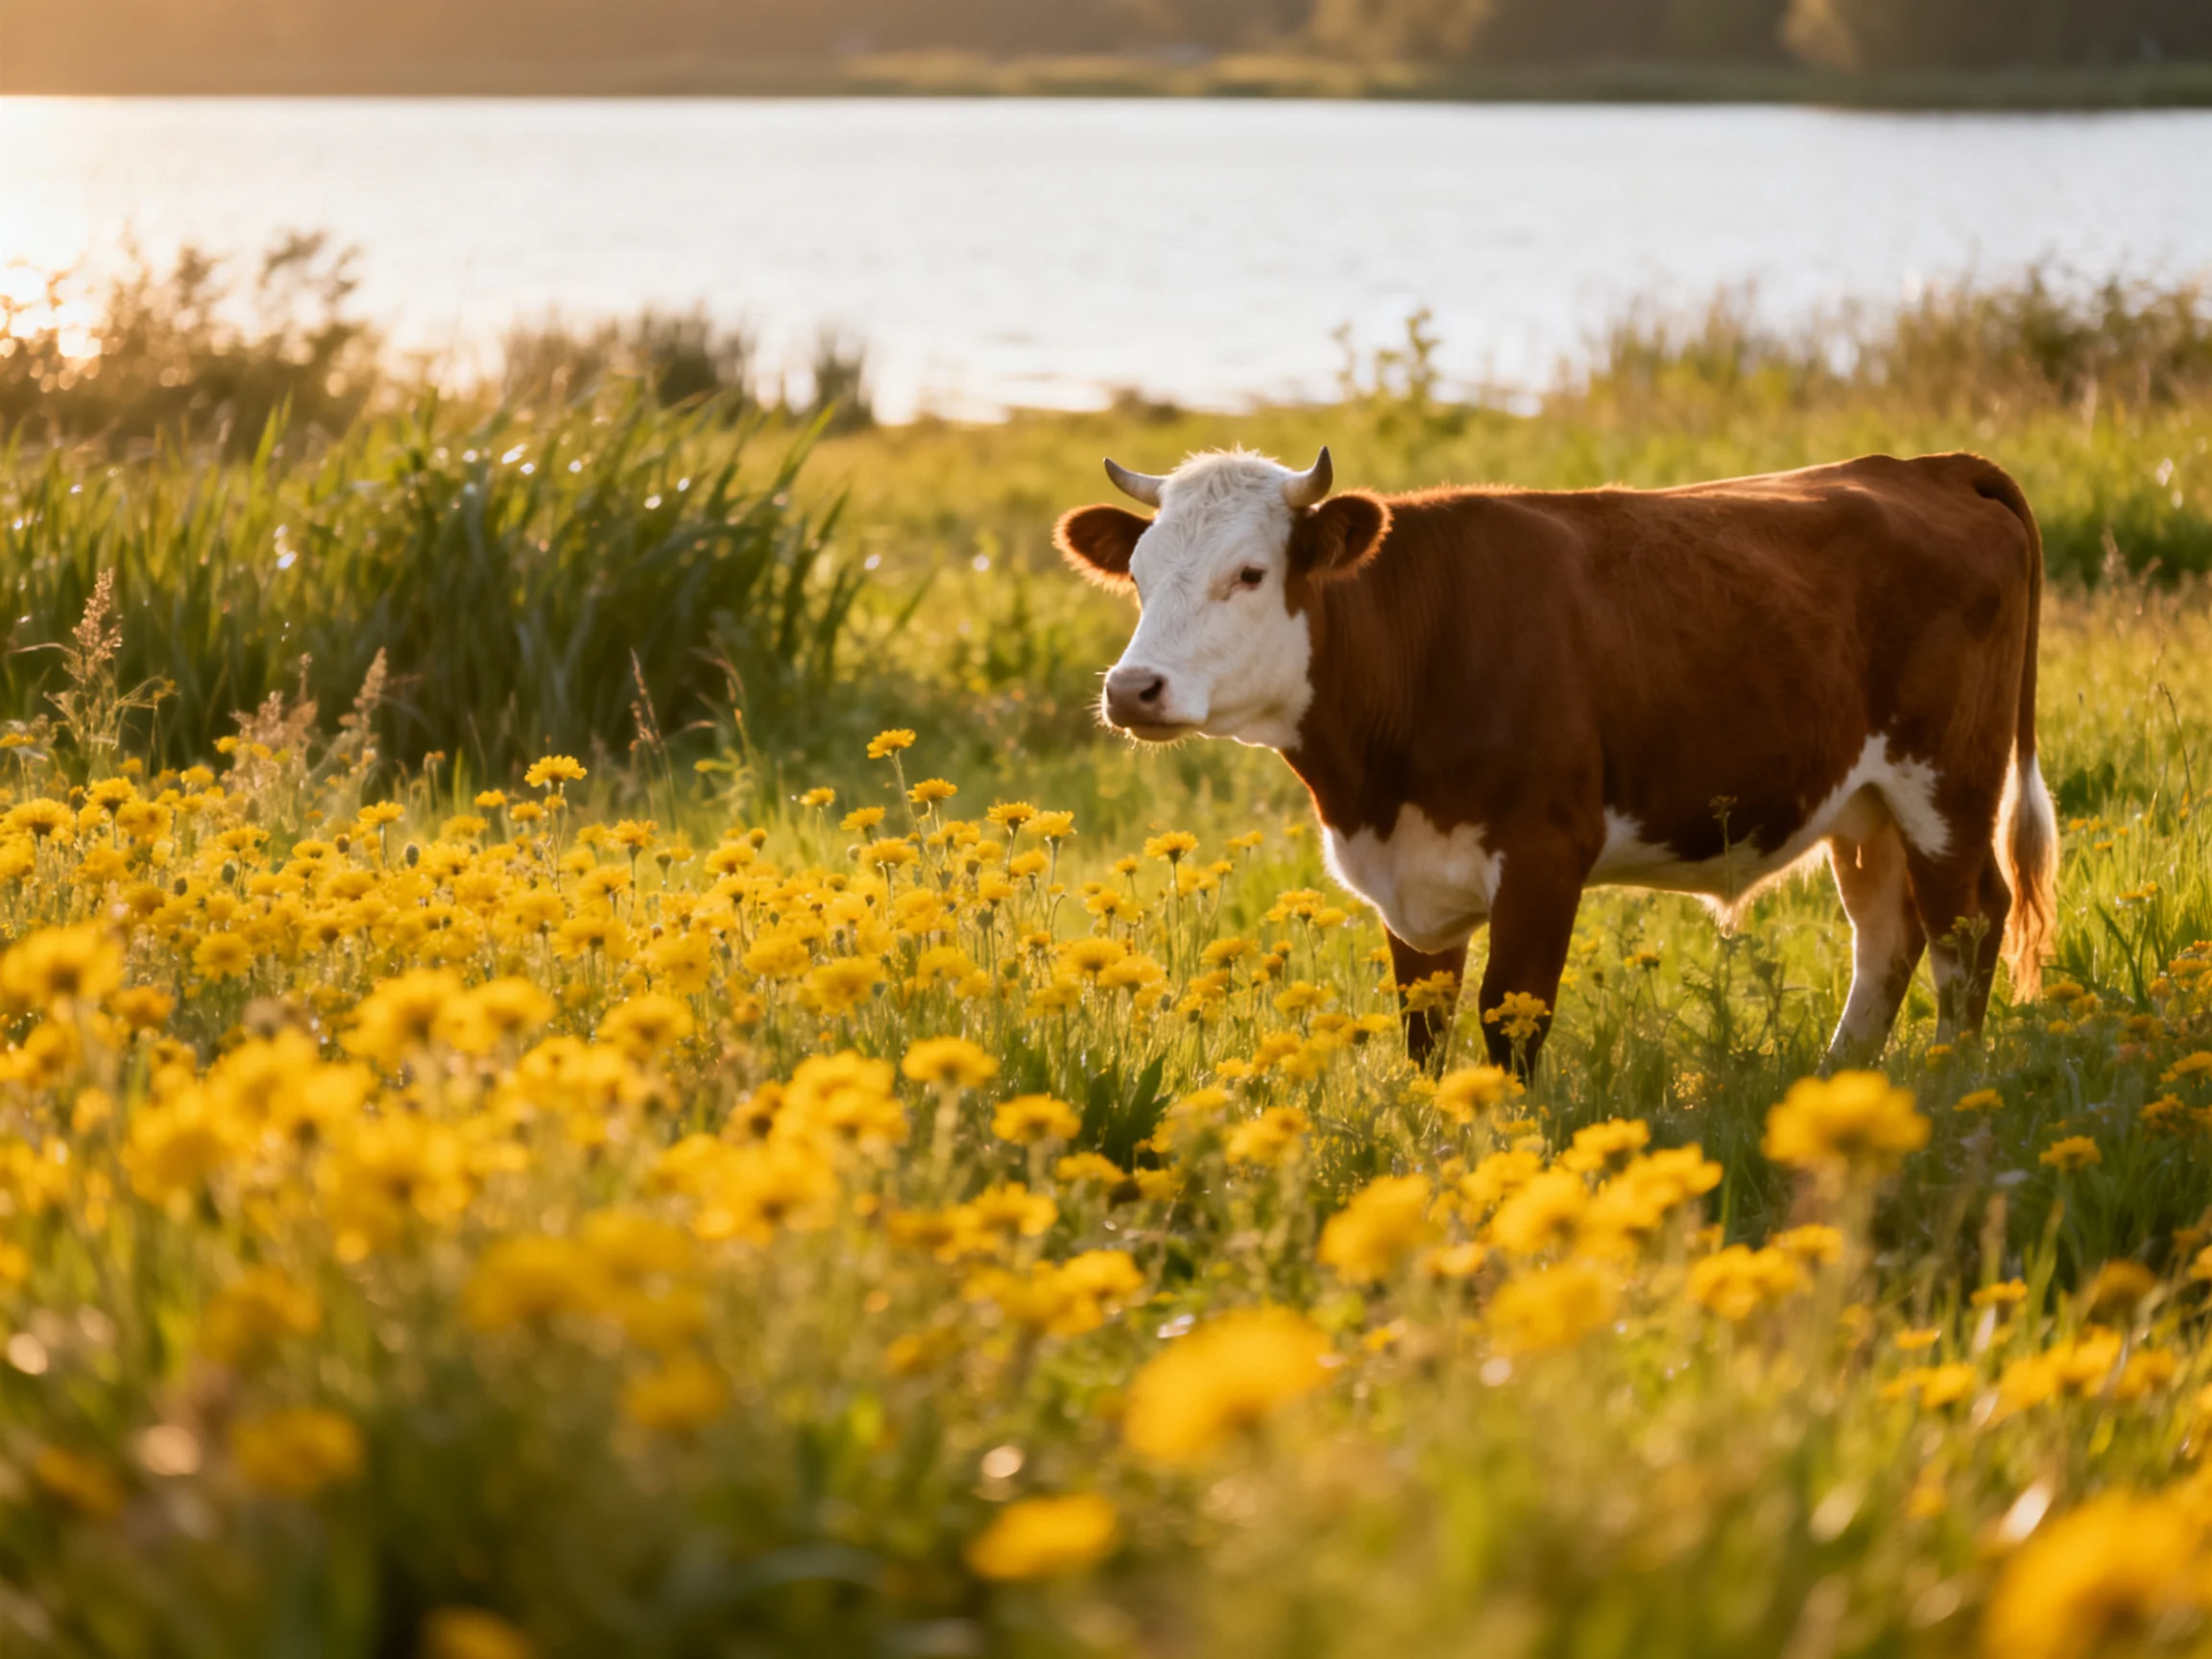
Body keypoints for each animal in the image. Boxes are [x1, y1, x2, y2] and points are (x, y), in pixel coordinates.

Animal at [1055, 447, 2056, 1072]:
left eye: (1250, 573)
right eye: (1138, 575)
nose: (1133, 689)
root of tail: (1930, 468)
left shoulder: (1544, 856)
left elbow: (1509, 1022)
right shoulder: (1411, 878)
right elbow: (1425, 1033)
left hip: (1948, 783)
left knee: (1969, 925)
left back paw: (1950, 1084)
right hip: (1866, 807)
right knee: (1889, 936)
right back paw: (1841, 1082)